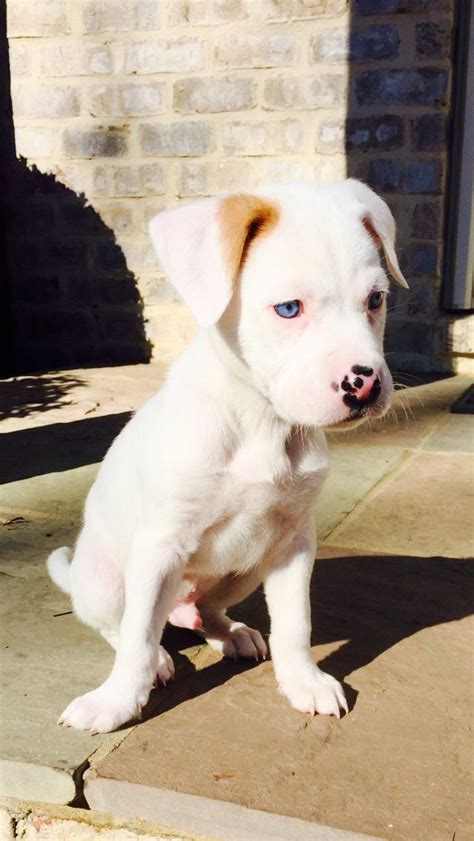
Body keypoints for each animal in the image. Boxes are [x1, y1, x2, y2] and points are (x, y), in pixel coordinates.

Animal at [46, 177, 408, 728]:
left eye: (375, 300)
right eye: (288, 308)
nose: (364, 384)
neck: (261, 421)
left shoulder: (293, 541)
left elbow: (296, 624)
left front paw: (304, 682)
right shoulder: (160, 546)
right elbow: (134, 639)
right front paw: (115, 701)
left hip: (246, 569)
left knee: (204, 613)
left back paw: (232, 634)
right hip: (107, 581)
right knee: (123, 626)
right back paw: (159, 658)